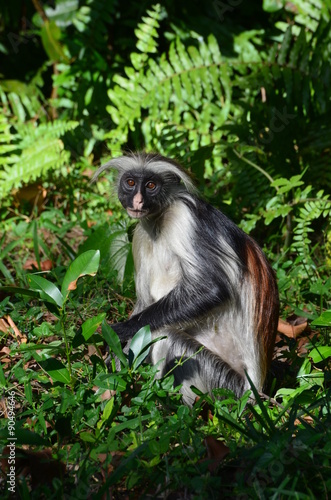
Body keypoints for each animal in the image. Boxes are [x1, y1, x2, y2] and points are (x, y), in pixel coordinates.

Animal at [94, 153, 280, 406]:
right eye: (130, 183)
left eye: (151, 186)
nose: (138, 201)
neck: (160, 218)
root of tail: (256, 391)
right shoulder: (140, 236)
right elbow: (144, 302)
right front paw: (116, 355)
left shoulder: (185, 216)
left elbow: (212, 289)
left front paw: (122, 330)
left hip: (226, 385)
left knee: (166, 335)